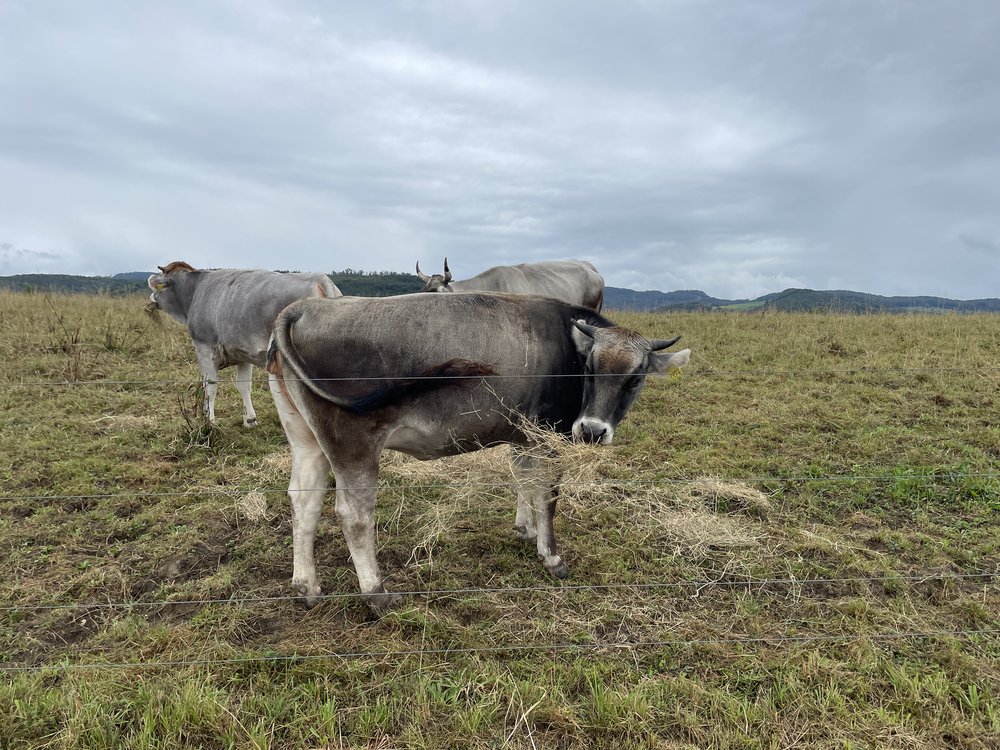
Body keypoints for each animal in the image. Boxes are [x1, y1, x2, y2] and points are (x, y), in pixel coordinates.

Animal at [148, 262, 342, 428]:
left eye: (157, 286)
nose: (151, 298)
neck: (194, 291)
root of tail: (321, 279)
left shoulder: (205, 349)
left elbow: (209, 386)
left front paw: (210, 422)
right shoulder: (242, 354)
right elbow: (244, 385)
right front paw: (250, 420)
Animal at [262, 290, 692, 612]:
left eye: (635, 378)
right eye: (588, 366)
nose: (591, 430)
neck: (566, 348)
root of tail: (303, 307)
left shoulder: (523, 435)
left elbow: (524, 482)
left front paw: (525, 530)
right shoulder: (549, 437)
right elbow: (547, 496)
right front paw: (551, 555)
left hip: (306, 439)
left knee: (304, 502)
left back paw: (307, 587)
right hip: (354, 442)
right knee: (353, 515)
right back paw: (377, 594)